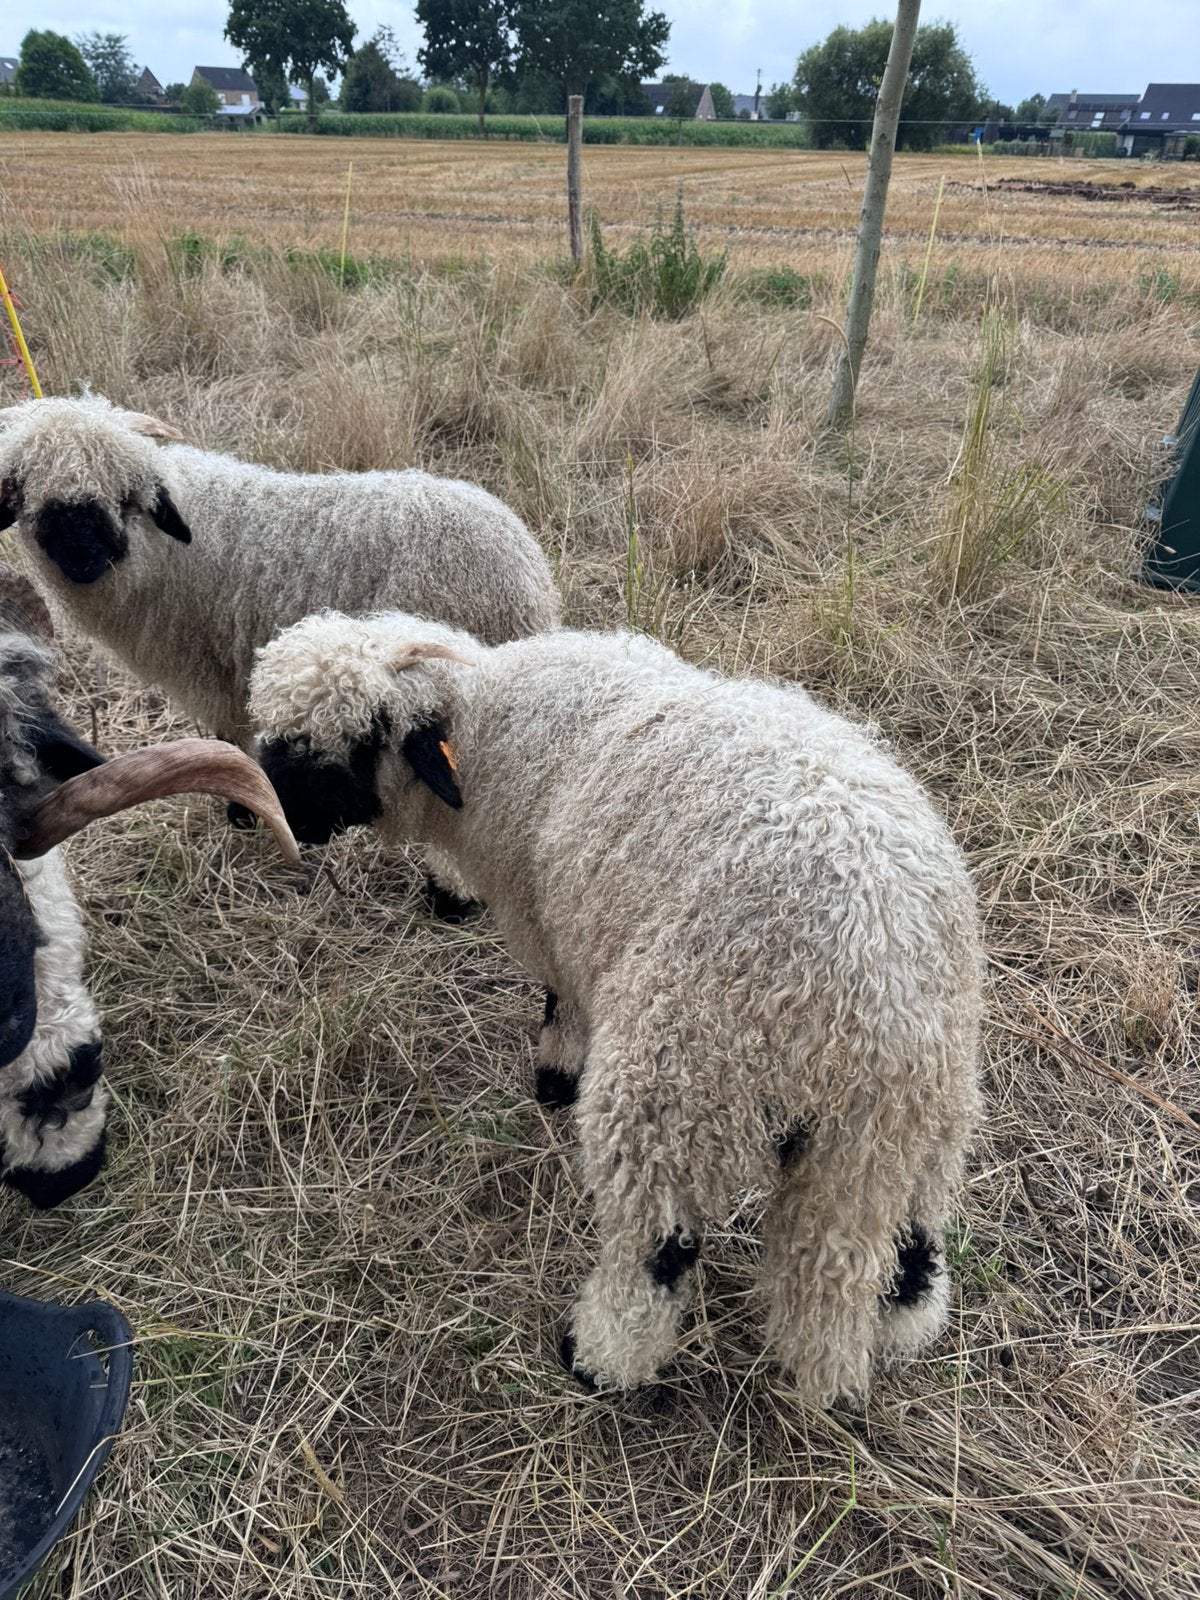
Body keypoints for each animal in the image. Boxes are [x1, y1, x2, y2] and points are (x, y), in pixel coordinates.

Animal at [0, 393, 560, 914]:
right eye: (30, 497)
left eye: (126, 498)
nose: (81, 560)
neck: (167, 551)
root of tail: (519, 573)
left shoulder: (218, 670)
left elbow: (231, 738)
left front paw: (242, 811)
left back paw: (450, 896)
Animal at [248, 611, 985, 1405]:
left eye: (334, 748)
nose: (243, 812)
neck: (487, 725)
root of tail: (869, 997)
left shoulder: (551, 922)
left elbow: (562, 1003)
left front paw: (554, 1079)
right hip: (912, 1126)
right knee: (910, 1235)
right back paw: (904, 1326)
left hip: (678, 1080)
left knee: (656, 1246)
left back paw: (599, 1356)